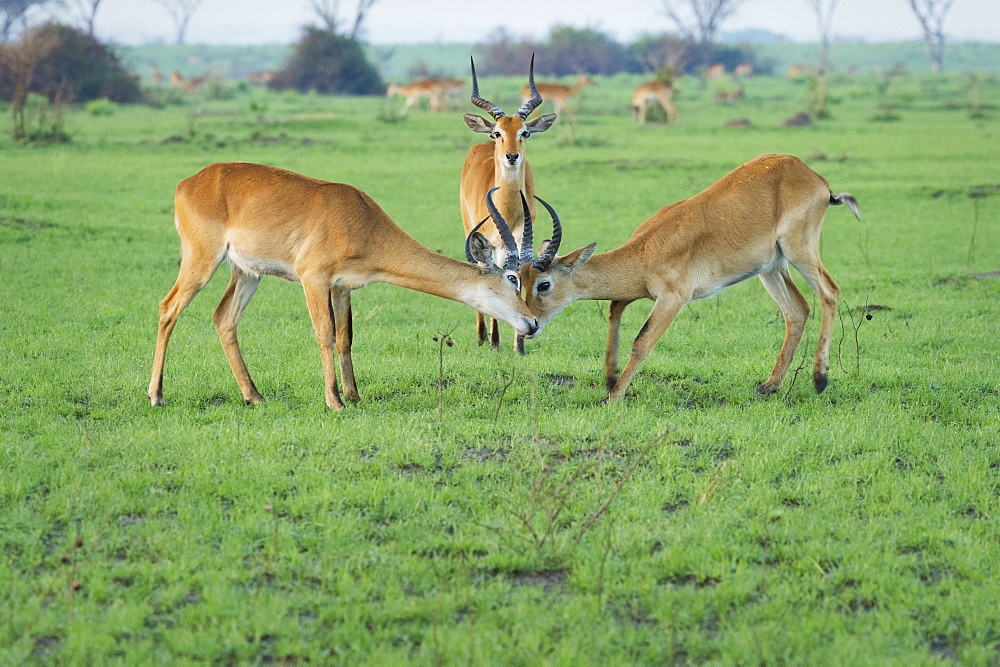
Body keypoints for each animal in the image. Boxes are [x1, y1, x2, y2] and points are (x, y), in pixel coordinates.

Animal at [148, 164, 540, 410]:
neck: (362, 221)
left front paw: (353, 395)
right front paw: (334, 401)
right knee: (168, 308)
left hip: (248, 273)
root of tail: (188, 182)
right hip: (202, 259)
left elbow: (345, 337)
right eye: (511, 278)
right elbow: (324, 334)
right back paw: (157, 395)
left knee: (223, 318)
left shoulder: (343, 288)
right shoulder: (313, 279)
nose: (533, 323)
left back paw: (254, 396)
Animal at [458, 56, 556, 354]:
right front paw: (495, 340)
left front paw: (519, 345)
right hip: (468, 226)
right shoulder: (494, 242)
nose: (512, 156)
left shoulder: (521, 240)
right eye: (497, 133)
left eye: (524, 132)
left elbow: (519, 278)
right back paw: (483, 337)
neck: (509, 210)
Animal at [524, 155, 860, 404]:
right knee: (797, 310)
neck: (644, 251)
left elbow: (642, 342)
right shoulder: (633, 293)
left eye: (544, 284)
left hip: (798, 250)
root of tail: (815, 178)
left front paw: (613, 398)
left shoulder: (673, 298)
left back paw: (820, 379)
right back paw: (770, 385)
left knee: (830, 292)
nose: (530, 326)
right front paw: (609, 379)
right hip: (771, 268)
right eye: (520, 281)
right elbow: (613, 313)